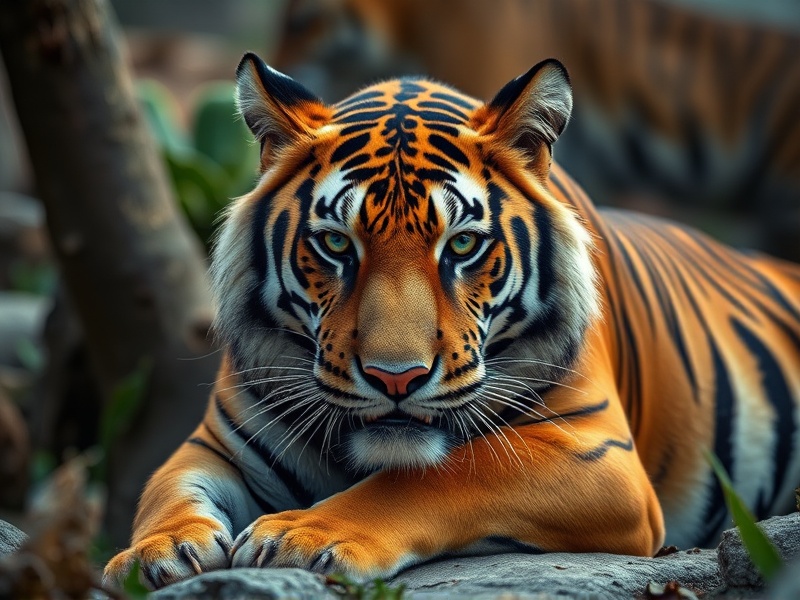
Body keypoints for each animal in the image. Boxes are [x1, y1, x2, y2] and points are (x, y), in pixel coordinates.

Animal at [104, 52, 800, 590]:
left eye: (461, 245)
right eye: (336, 244)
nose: (396, 379)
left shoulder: (599, 452)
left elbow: (443, 471)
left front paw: (298, 535)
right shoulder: (216, 442)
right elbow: (164, 489)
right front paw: (153, 554)